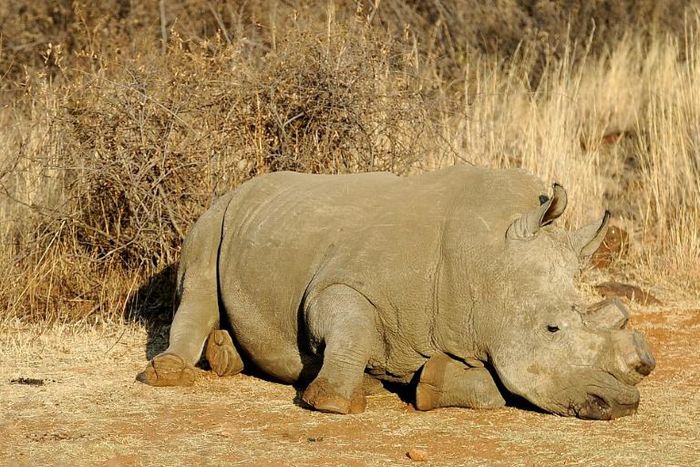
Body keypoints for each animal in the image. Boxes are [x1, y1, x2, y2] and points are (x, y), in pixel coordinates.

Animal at [137, 165, 655, 420]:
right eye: (552, 328)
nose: (623, 405)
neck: (484, 263)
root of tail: (238, 188)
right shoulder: (338, 285)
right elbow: (345, 321)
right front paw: (332, 403)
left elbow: (491, 384)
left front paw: (430, 385)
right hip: (216, 216)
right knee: (197, 283)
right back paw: (167, 374)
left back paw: (225, 358)